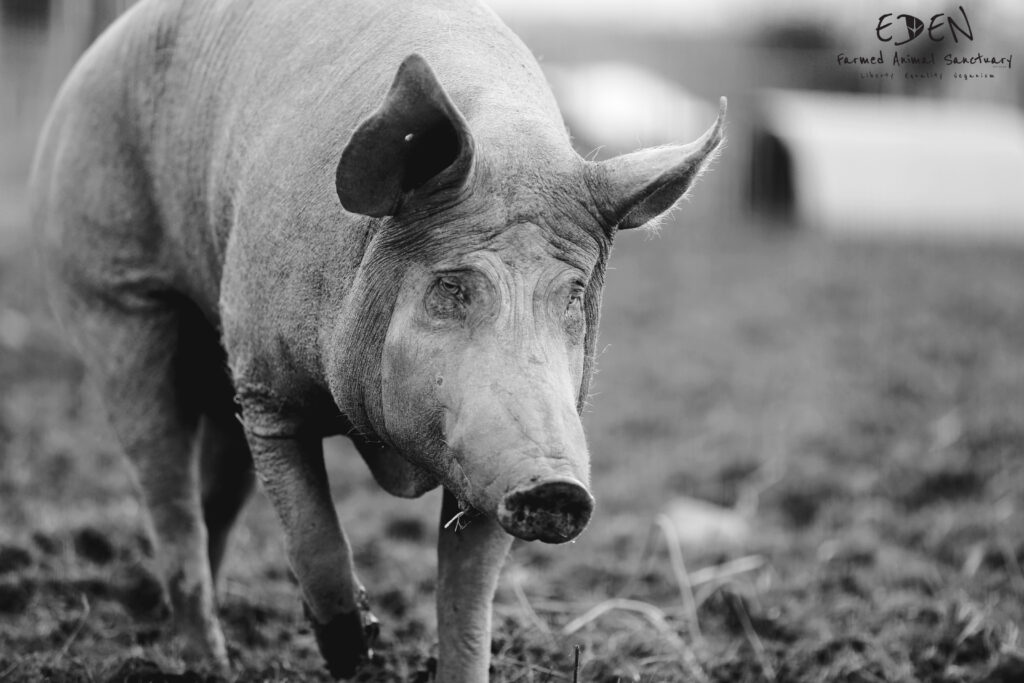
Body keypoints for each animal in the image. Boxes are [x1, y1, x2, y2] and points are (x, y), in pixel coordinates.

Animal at [29, 0, 725, 680]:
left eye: (574, 295)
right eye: (452, 285)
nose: (556, 487)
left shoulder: (486, 459)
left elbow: (467, 601)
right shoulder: (269, 390)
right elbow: (315, 537)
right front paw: (359, 651)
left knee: (215, 496)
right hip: (114, 297)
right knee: (166, 487)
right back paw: (209, 662)